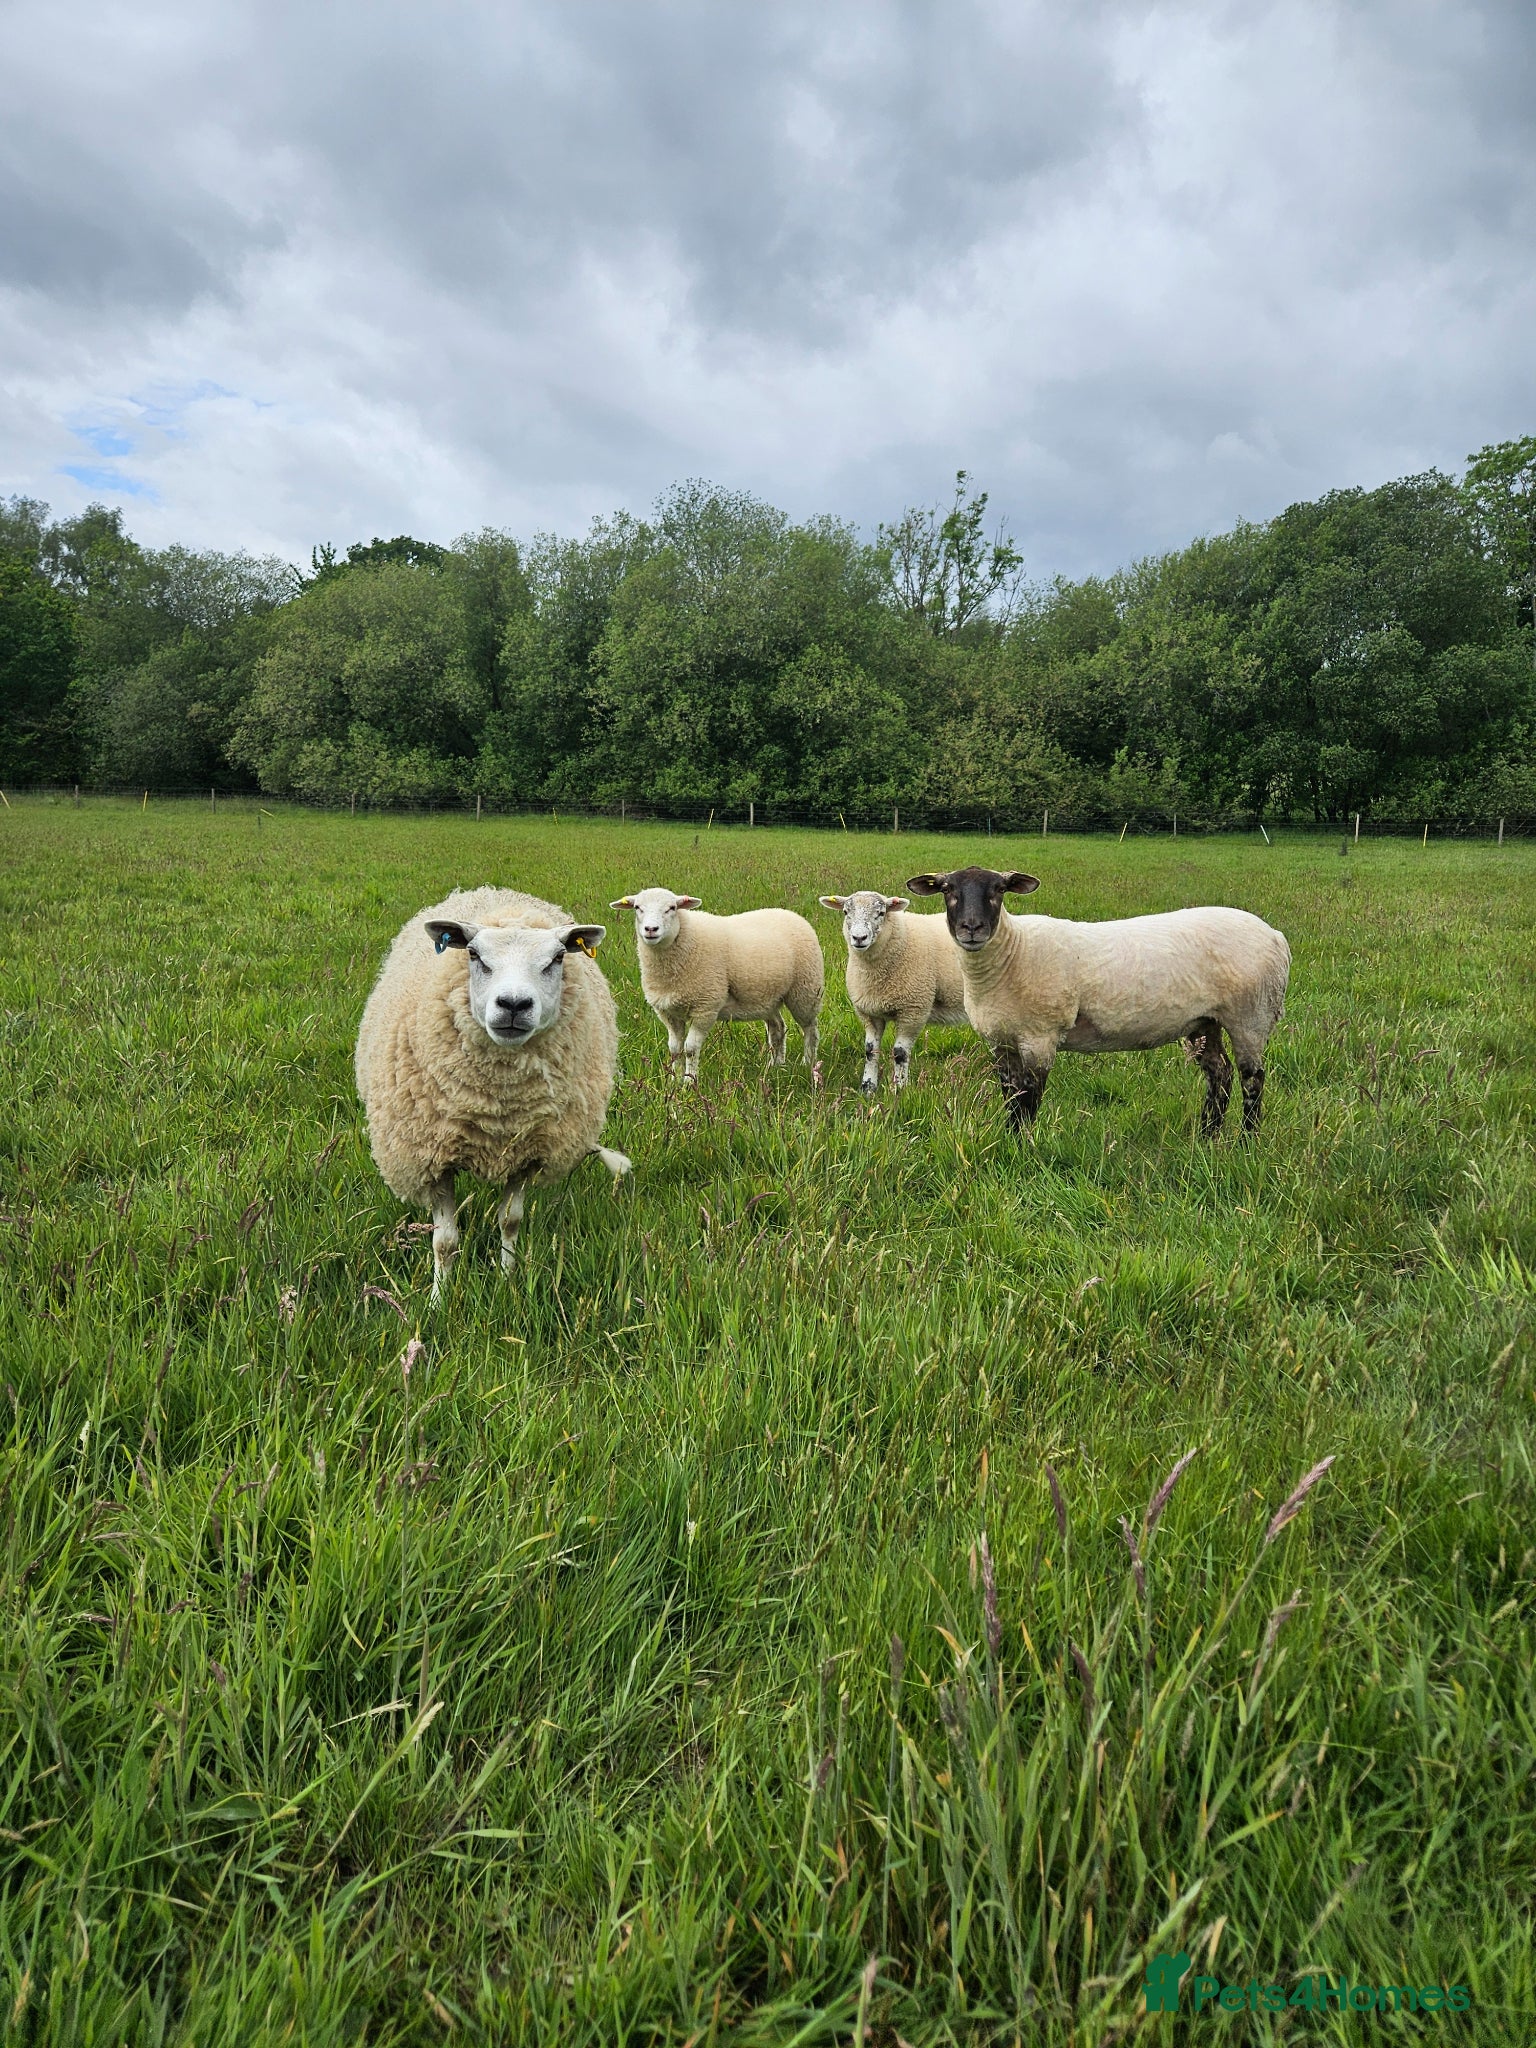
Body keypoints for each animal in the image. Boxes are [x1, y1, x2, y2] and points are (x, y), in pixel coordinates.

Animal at [355, 885, 631, 1296]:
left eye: (557, 958)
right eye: (473, 954)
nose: (514, 1004)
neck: (499, 1105)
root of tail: (496, 894)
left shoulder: (528, 1151)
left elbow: (510, 1221)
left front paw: (507, 1279)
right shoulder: (434, 1157)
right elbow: (444, 1240)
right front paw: (440, 1297)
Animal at [609, 887, 824, 1085]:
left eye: (672, 908)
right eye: (637, 907)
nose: (651, 929)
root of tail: (791, 914)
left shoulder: (705, 1007)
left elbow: (690, 1049)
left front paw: (689, 1083)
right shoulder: (668, 1013)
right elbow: (674, 1049)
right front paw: (673, 1081)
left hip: (805, 991)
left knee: (810, 1029)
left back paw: (808, 1062)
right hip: (767, 997)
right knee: (777, 1028)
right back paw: (776, 1066)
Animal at [816, 890, 966, 1091]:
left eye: (881, 913)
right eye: (846, 912)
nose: (859, 938)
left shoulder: (913, 1010)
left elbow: (900, 1053)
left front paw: (899, 1089)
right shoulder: (869, 1013)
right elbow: (870, 1051)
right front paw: (868, 1088)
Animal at [904, 865, 1290, 1137]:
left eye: (999, 889)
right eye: (947, 890)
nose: (972, 928)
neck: (1013, 953)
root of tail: (1276, 936)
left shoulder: (1040, 1038)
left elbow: (1028, 1101)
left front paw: (1024, 1147)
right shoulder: (1001, 1042)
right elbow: (1011, 1100)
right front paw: (1009, 1142)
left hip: (1250, 1016)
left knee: (1253, 1079)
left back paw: (1246, 1142)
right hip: (1204, 1021)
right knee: (1220, 1074)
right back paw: (1208, 1136)